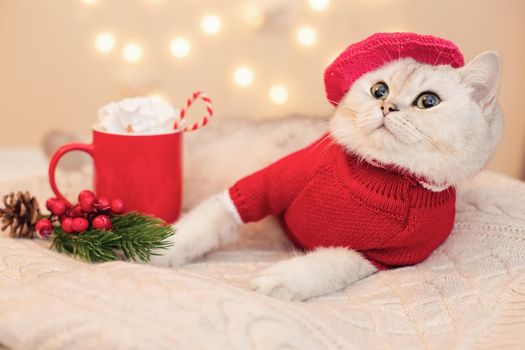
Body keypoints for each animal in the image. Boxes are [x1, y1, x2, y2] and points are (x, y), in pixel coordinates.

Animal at [149, 49, 502, 300]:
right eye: (379, 90)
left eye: (428, 101)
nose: (387, 107)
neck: (381, 175)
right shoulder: (262, 185)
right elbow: (208, 221)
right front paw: (157, 249)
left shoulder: (388, 256)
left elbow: (335, 263)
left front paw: (283, 279)